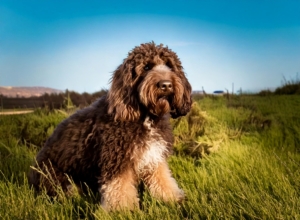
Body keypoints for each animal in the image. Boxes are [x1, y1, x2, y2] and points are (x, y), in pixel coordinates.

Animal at [28, 42, 192, 211]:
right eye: (146, 67)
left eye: (169, 65)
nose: (166, 85)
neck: (145, 116)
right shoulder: (117, 159)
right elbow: (119, 189)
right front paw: (123, 211)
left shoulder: (154, 155)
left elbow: (163, 178)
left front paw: (173, 198)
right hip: (57, 178)